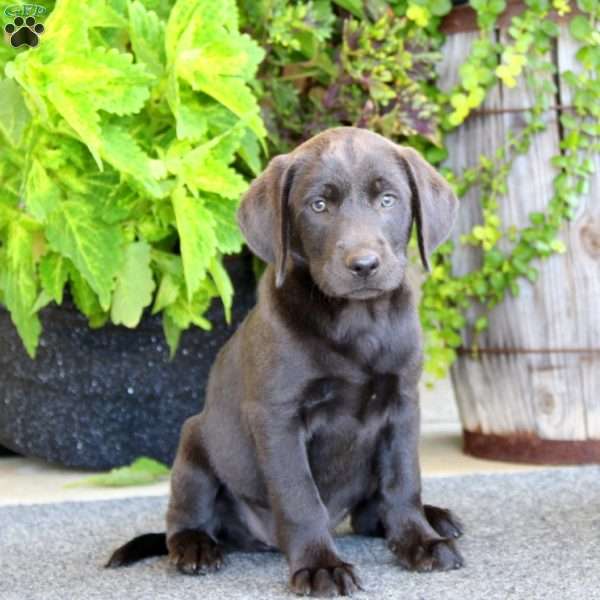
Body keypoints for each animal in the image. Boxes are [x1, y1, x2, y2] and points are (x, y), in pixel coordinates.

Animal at [109, 125, 464, 596]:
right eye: (319, 205)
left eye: (388, 200)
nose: (364, 264)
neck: (357, 321)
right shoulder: (278, 417)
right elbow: (300, 498)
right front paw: (320, 566)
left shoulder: (402, 404)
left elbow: (403, 482)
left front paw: (420, 541)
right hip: (194, 441)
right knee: (181, 520)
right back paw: (196, 548)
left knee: (371, 514)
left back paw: (434, 517)